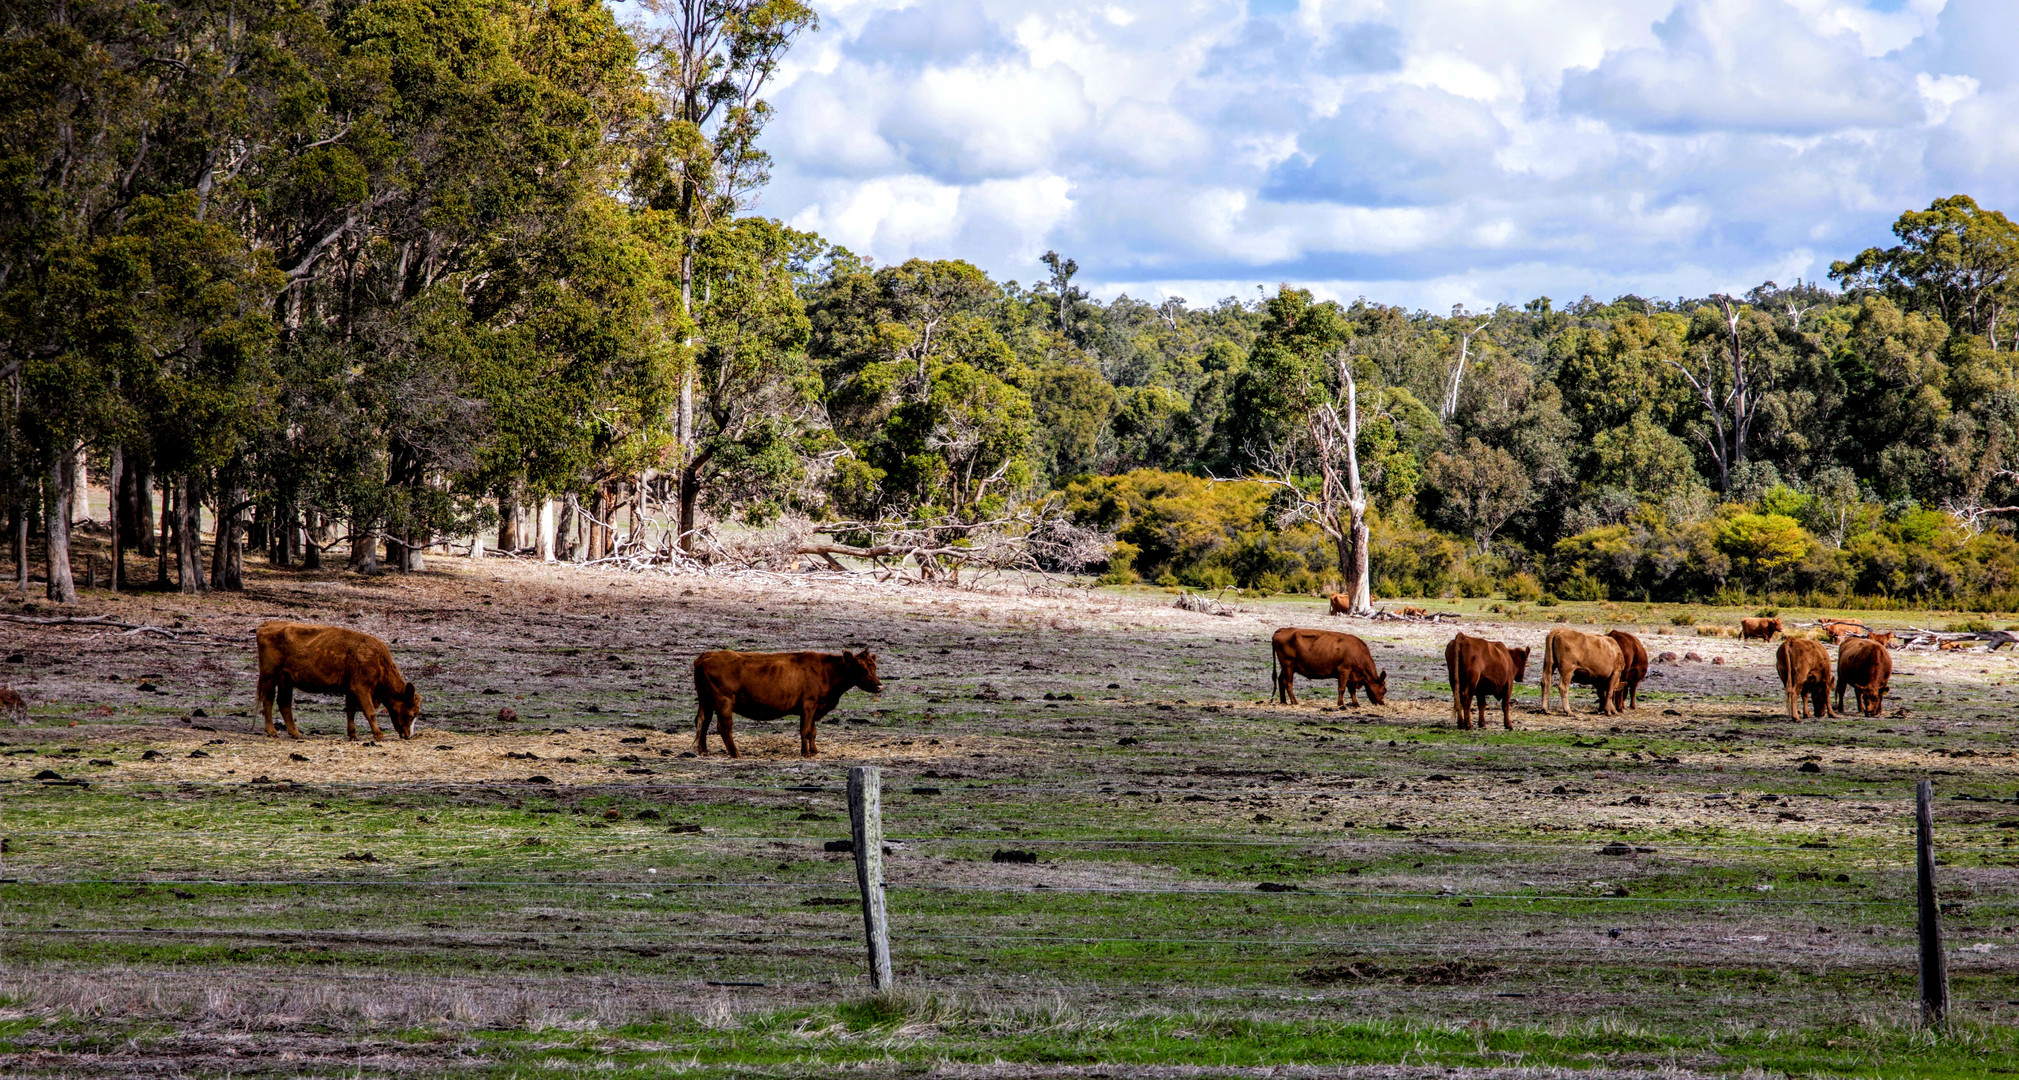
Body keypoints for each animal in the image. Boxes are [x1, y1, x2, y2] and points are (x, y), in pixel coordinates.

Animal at [256, 625, 421, 742]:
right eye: (413, 713)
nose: (409, 735)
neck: (378, 661)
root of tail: (266, 625)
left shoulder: (351, 690)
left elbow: (350, 711)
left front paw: (353, 735)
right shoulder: (361, 689)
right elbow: (370, 712)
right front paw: (379, 735)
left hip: (285, 680)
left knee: (284, 703)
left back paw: (296, 733)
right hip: (269, 677)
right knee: (268, 700)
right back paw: (272, 731)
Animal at [690, 650, 880, 759]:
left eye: (874, 667)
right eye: (862, 668)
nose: (879, 685)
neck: (826, 671)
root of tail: (705, 656)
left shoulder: (815, 707)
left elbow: (813, 731)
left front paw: (814, 751)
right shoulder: (809, 704)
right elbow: (805, 730)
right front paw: (806, 753)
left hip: (706, 701)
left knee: (703, 723)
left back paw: (704, 751)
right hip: (724, 701)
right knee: (724, 727)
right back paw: (736, 754)